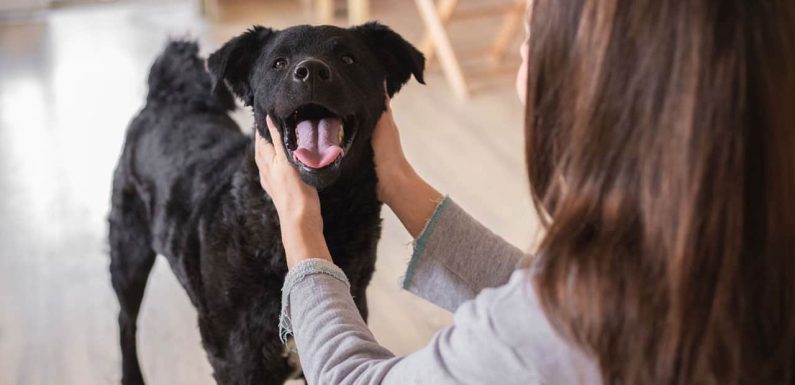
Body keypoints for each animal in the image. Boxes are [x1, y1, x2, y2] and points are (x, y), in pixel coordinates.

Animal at [110, 23, 430, 380]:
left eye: (349, 58)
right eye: (279, 63)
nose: (312, 71)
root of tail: (168, 95)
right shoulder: (235, 362)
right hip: (129, 253)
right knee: (125, 320)